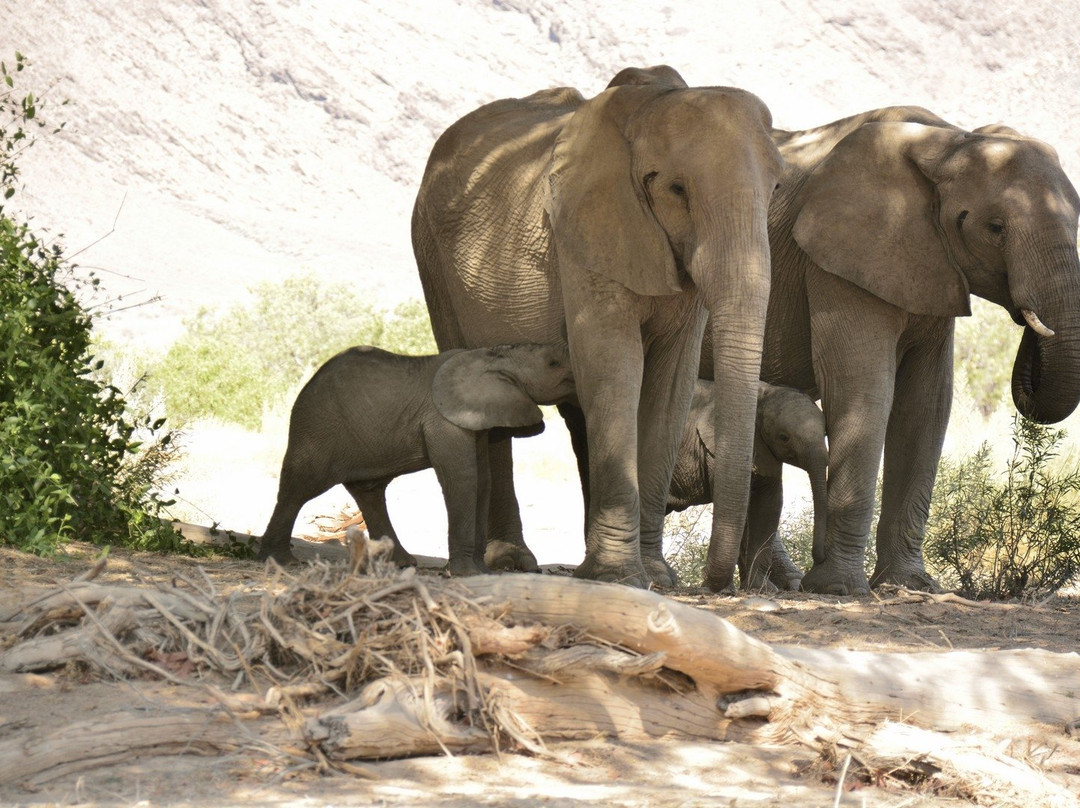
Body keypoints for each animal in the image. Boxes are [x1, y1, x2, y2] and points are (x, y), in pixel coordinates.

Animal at [255, 342, 575, 576]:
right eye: (553, 363)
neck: (495, 354)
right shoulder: (444, 421)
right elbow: (462, 479)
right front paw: (468, 574)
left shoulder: (476, 421)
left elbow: (483, 482)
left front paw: (480, 571)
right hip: (317, 428)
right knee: (299, 487)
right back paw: (278, 561)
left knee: (369, 492)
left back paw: (400, 563)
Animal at [412, 65, 781, 588]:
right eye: (677, 190)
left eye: (776, 190)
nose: (717, 585)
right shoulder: (587, 230)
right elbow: (613, 364)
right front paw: (621, 578)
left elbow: (670, 384)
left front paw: (656, 578)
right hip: (432, 258)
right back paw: (511, 562)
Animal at [667, 380, 827, 591]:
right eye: (783, 437)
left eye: (826, 432)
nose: (819, 557)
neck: (763, 393)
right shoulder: (716, 450)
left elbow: (768, 507)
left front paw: (761, 588)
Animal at [699, 105, 1080, 594]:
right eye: (995, 229)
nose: (1028, 318)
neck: (948, 142)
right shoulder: (839, 262)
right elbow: (865, 390)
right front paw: (840, 589)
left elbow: (926, 405)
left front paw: (910, 585)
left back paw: (780, 585)